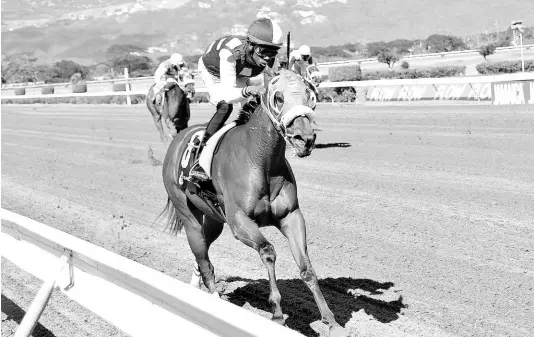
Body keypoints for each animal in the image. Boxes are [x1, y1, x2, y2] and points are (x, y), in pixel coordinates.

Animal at [157, 67, 350, 334]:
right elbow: (268, 251)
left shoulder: (292, 217)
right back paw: (214, 301)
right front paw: (277, 313)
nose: (305, 139)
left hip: (215, 219)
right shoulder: (240, 222)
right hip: (187, 214)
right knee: (203, 258)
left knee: (203, 250)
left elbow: (307, 269)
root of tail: (178, 138)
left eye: (310, 96)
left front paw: (331, 321)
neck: (261, 160)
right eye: (278, 97)